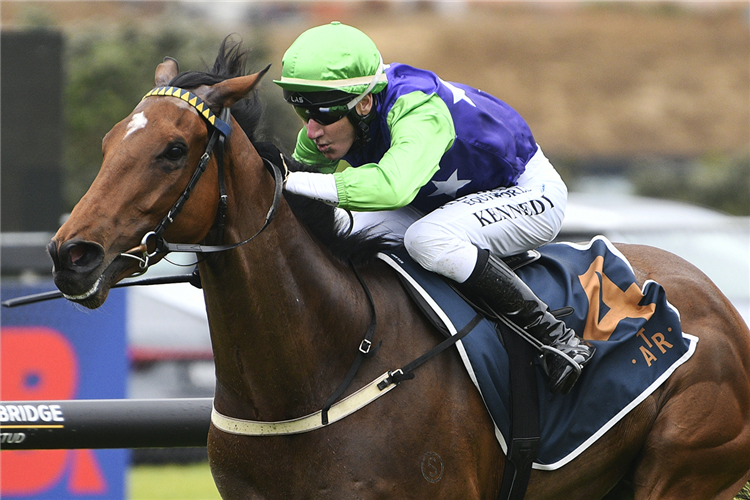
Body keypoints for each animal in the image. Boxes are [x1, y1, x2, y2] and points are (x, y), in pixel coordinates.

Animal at [48, 38, 750, 496]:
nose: (71, 255)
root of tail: (722, 306)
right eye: (109, 142)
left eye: (173, 149)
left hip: (683, 464)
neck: (325, 363)